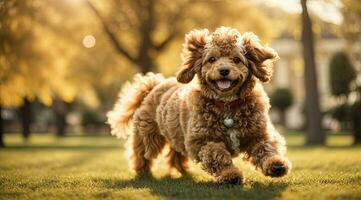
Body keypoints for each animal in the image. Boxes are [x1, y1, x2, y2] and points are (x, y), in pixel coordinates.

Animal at [106, 26, 290, 184]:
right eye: (212, 59)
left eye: (237, 59)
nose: (224, 70)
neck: (227, 105)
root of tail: (153, 85)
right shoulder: (201, 141)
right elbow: (217, 154)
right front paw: (230, 175)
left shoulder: (258, 134)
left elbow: (266, 147)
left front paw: (276, 165)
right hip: (149, 136)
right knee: (141, 153)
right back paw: (143, 173)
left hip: (176, 134)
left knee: (175, 154)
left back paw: (182, 170)